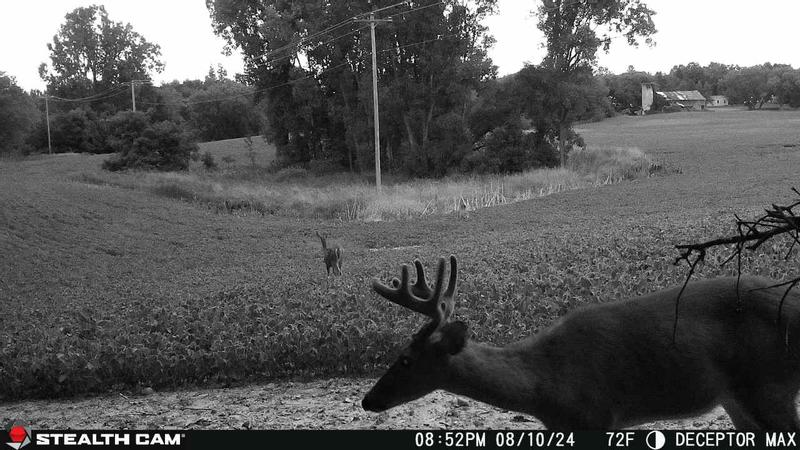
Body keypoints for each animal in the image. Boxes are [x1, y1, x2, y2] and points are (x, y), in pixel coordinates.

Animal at [362, 255, 800, 430]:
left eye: (405, 358)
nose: (368, 401)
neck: (542, 386)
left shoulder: (595, 415)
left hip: (770, 384)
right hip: (736, 398)